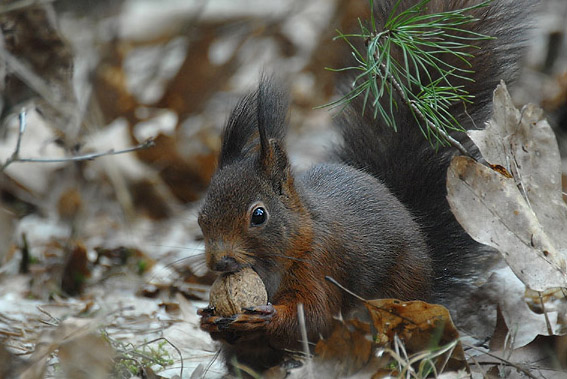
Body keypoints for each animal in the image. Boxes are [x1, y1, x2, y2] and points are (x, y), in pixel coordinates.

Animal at [196, 0, 532, 374]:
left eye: (259, 215)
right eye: (200, 217)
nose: (220, 262)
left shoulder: (320, 265)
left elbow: (312, 316)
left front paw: (264, 317)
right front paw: (209, 319)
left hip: (396, 297)